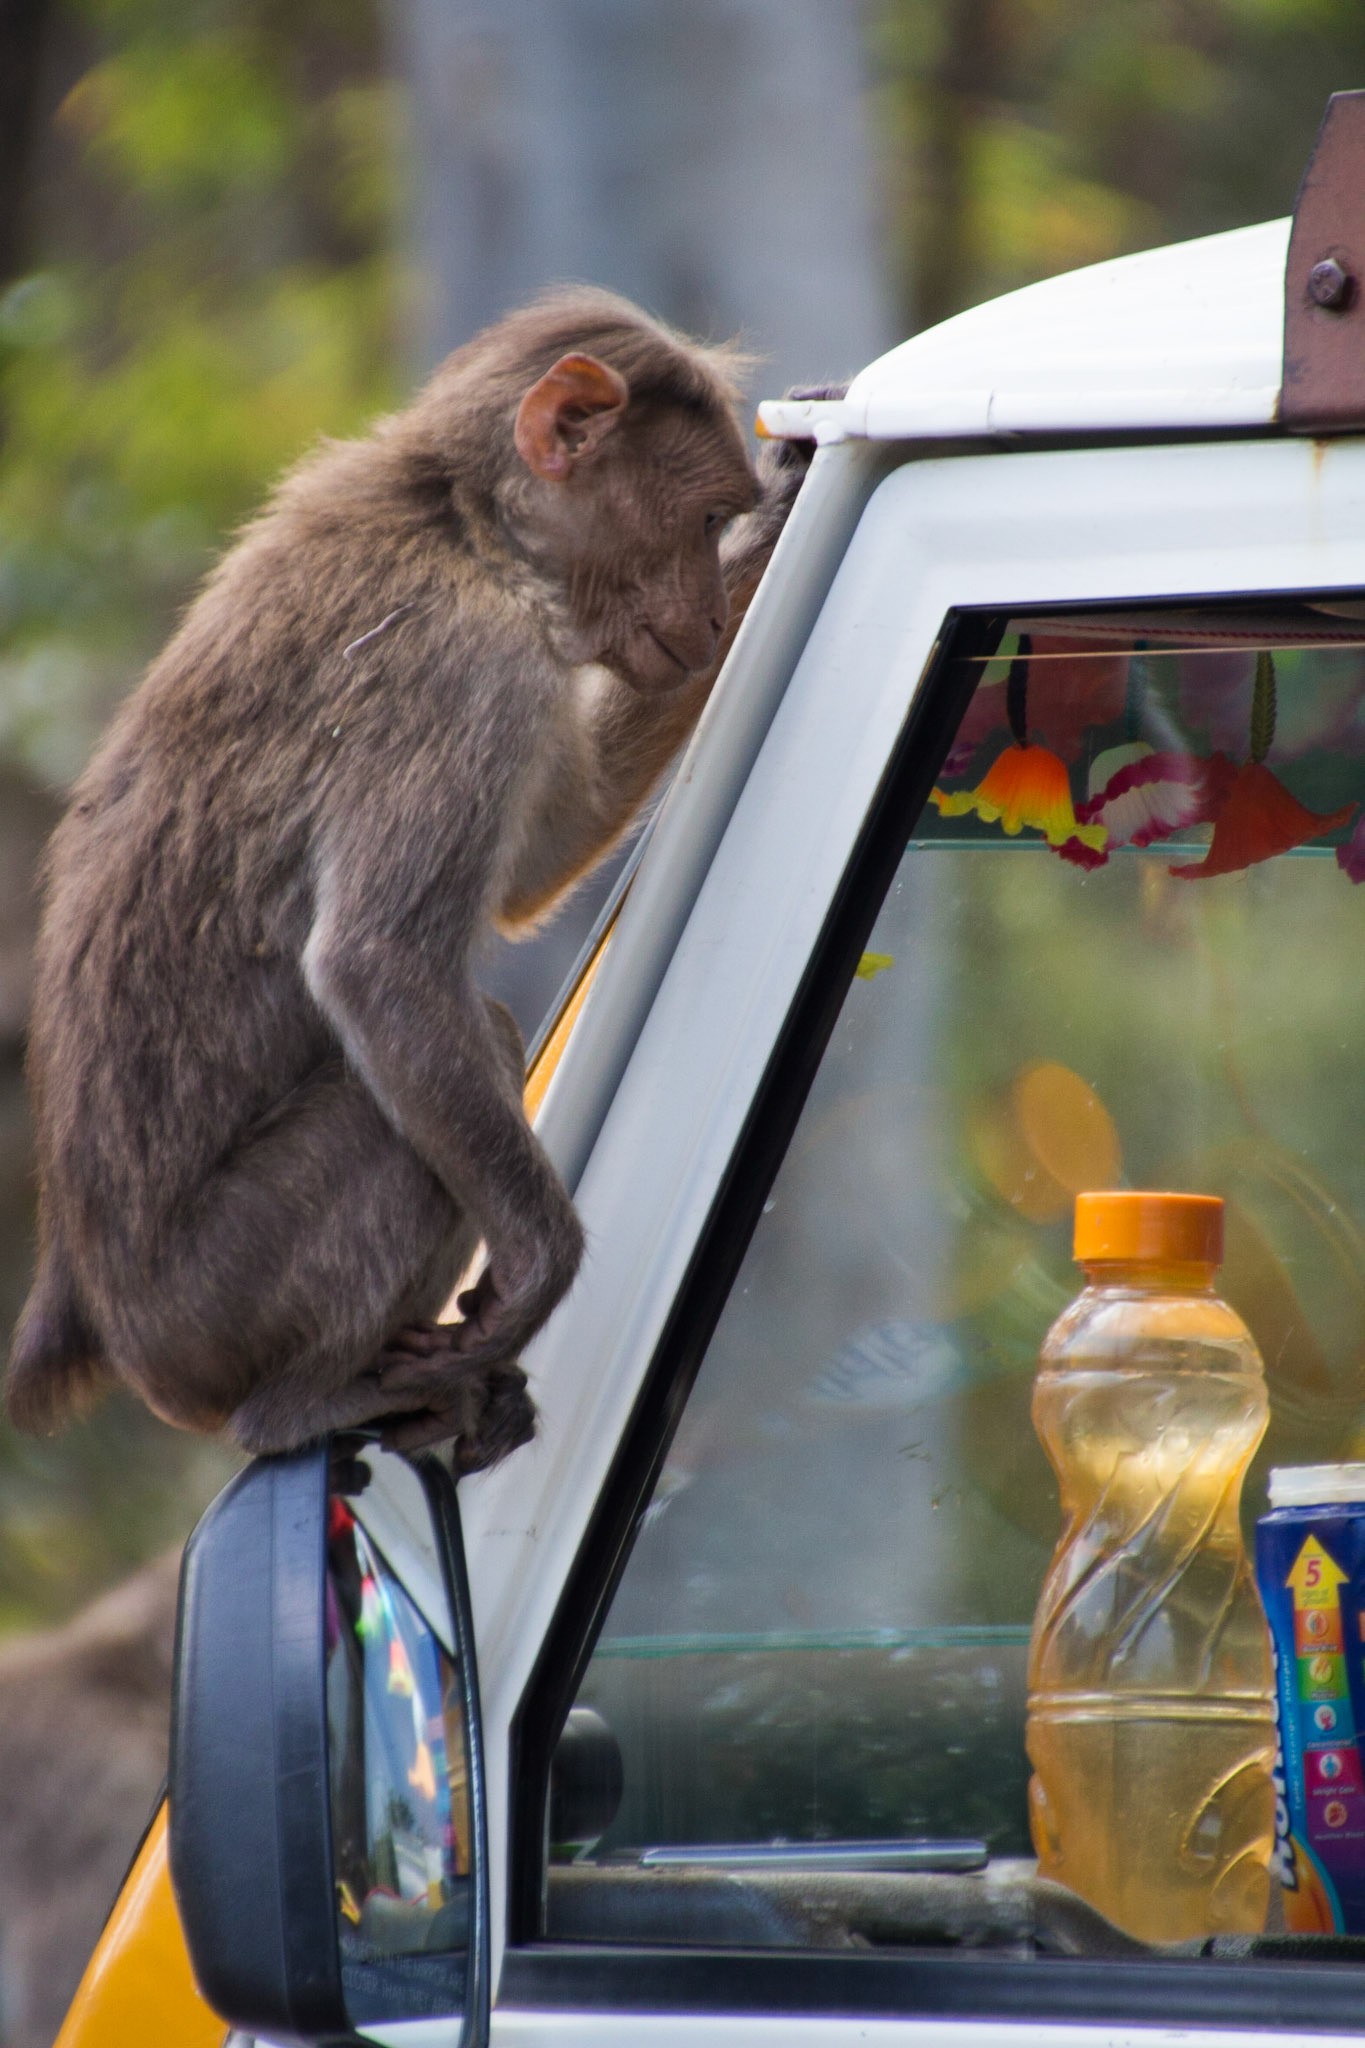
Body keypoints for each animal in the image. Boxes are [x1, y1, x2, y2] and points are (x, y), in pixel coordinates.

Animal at [6, 287, 833, 1466]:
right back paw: (303, 1407)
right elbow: (379, 962)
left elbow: (533, 864)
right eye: (698, 512)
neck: (463, 525)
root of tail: (117, 1334)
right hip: (221, 1299)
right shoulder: (468, 671)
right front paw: (540, 1268)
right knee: (435, 1064)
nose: (711, 619)